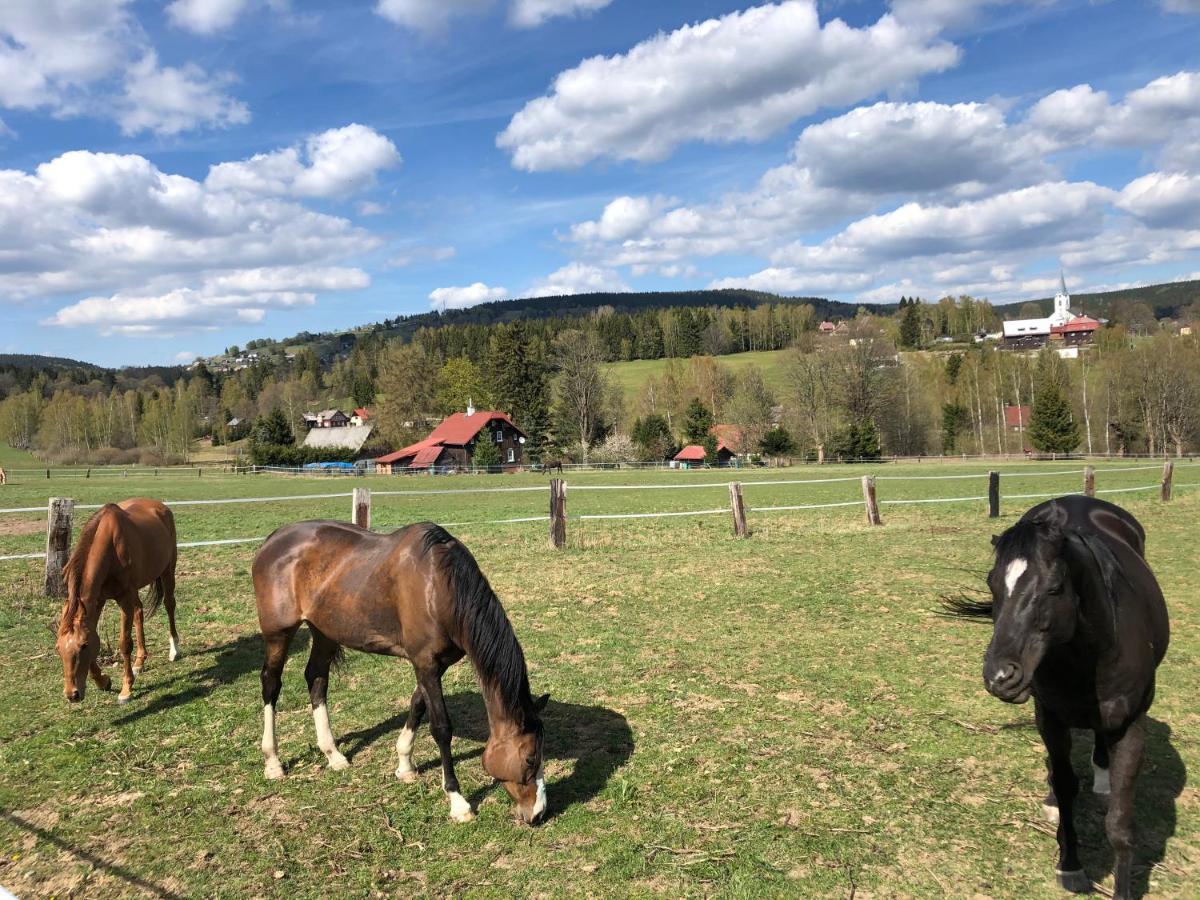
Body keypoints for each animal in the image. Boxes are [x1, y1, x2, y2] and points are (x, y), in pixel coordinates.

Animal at [54, 501, 180, 705]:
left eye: (83, 646)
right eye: (58, 648)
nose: (72, 695)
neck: (110, 547)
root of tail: (161, 506)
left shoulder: (124, 598)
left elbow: (124, 643)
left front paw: (126, 689)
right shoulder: (98, 600)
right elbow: (95, 634)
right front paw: (103, 681)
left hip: (168, 571)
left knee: (170, 605)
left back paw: (174, 650)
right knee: (139, 612)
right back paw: (139, 662)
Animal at [256, 520, 552, 825]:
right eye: (531, 758)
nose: (539, 812)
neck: (439, 587)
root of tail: (275, 538)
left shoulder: (433, 664)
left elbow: (417, 706)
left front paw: (405, 764)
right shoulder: (426, 663)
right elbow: (441, 727)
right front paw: (457, 801)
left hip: (324, 631)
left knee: (316, 678)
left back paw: (333, 754)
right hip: (278, 633)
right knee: (271, 684)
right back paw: (273, 761)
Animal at [950, 494, 1166, 900]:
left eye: (1053, 587)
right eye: (991, 583)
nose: (1000, 676)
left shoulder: (1131, 726)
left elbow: (1120, 824)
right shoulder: (1049, 718)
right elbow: (1066, 789)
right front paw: (1070, 865)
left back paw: (1102, 777)